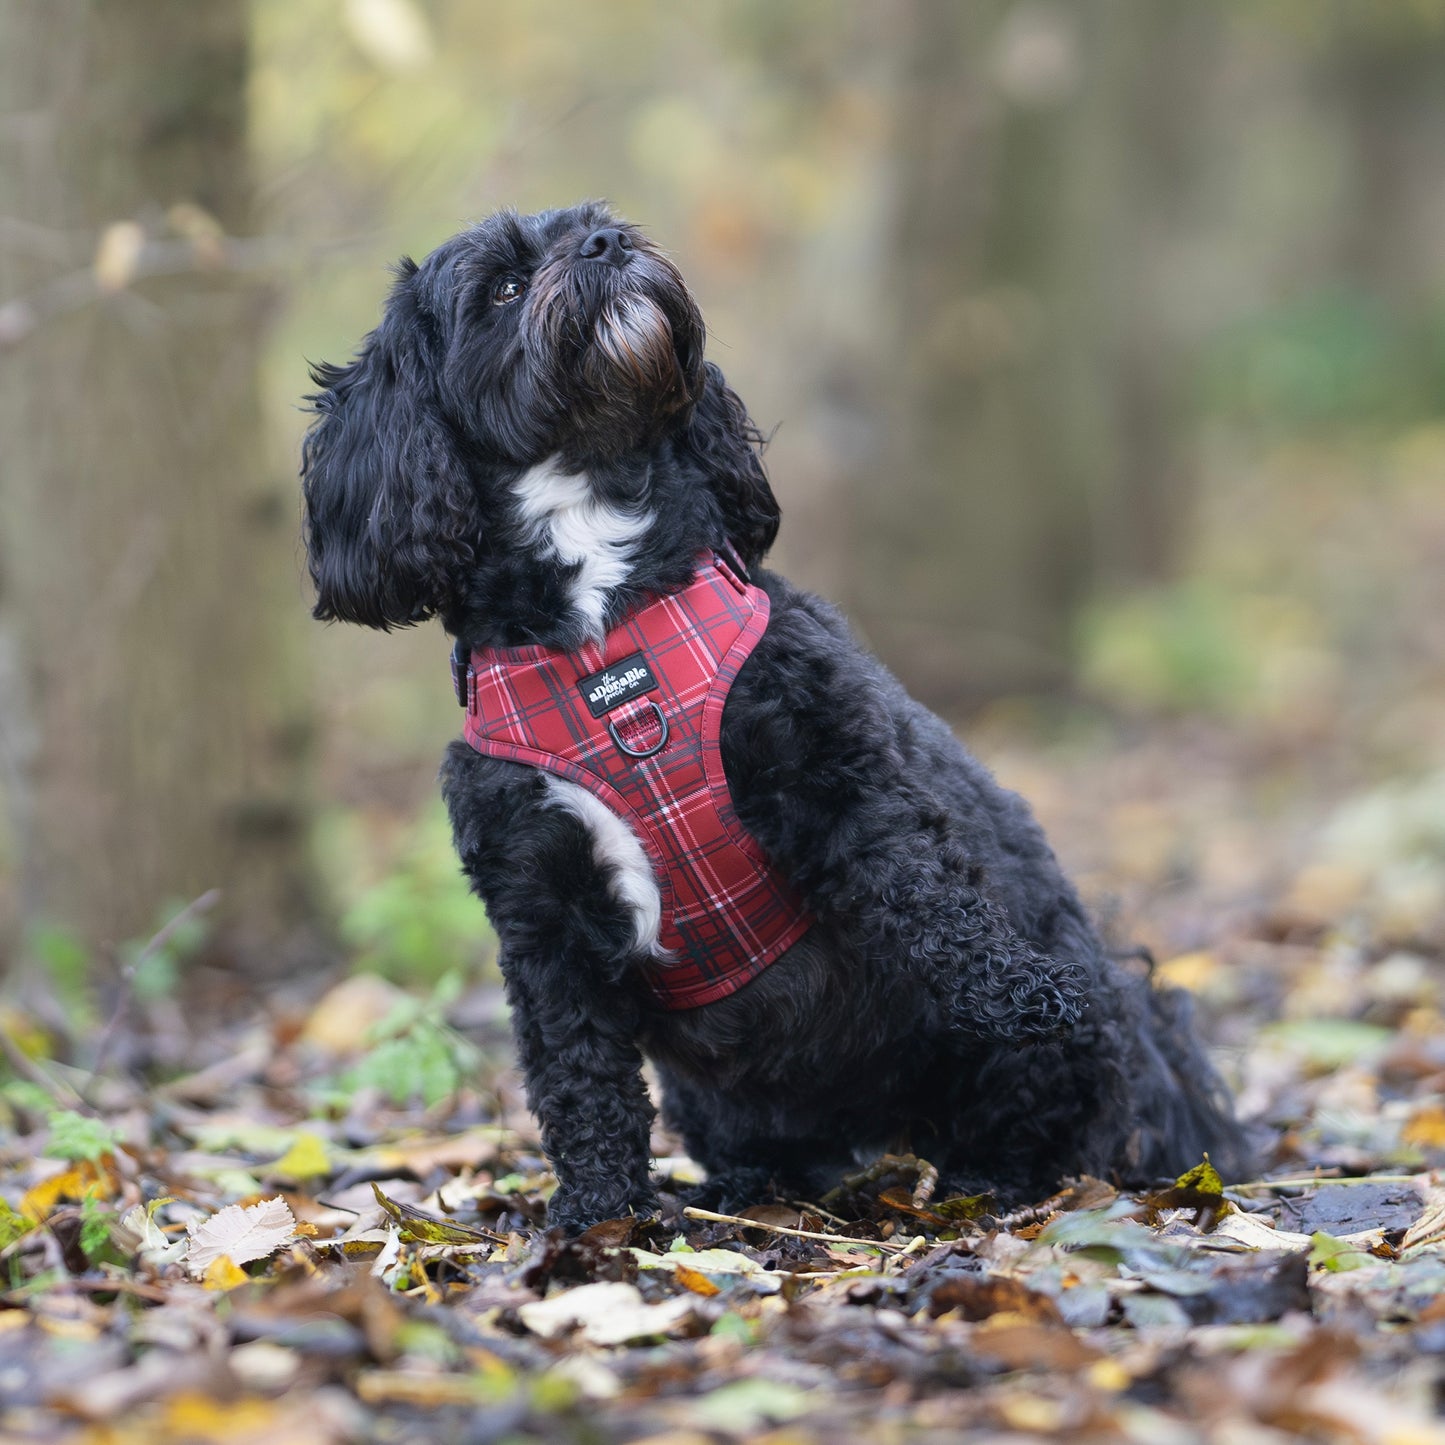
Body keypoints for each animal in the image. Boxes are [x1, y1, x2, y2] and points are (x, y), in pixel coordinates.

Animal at [302, 197, 1242, 1225]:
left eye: (597, 222)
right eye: (504, 288)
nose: (607, 245)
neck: (606, 635)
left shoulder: (841, 773)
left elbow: (937, 906)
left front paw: (1024, 992)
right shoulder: (537, 899)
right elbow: (575, 1070)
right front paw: (601, 1216)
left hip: (1067, 1053)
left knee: (1051, 1117)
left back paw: (989, 1176)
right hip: (719, 1099)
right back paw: (750, 1186)